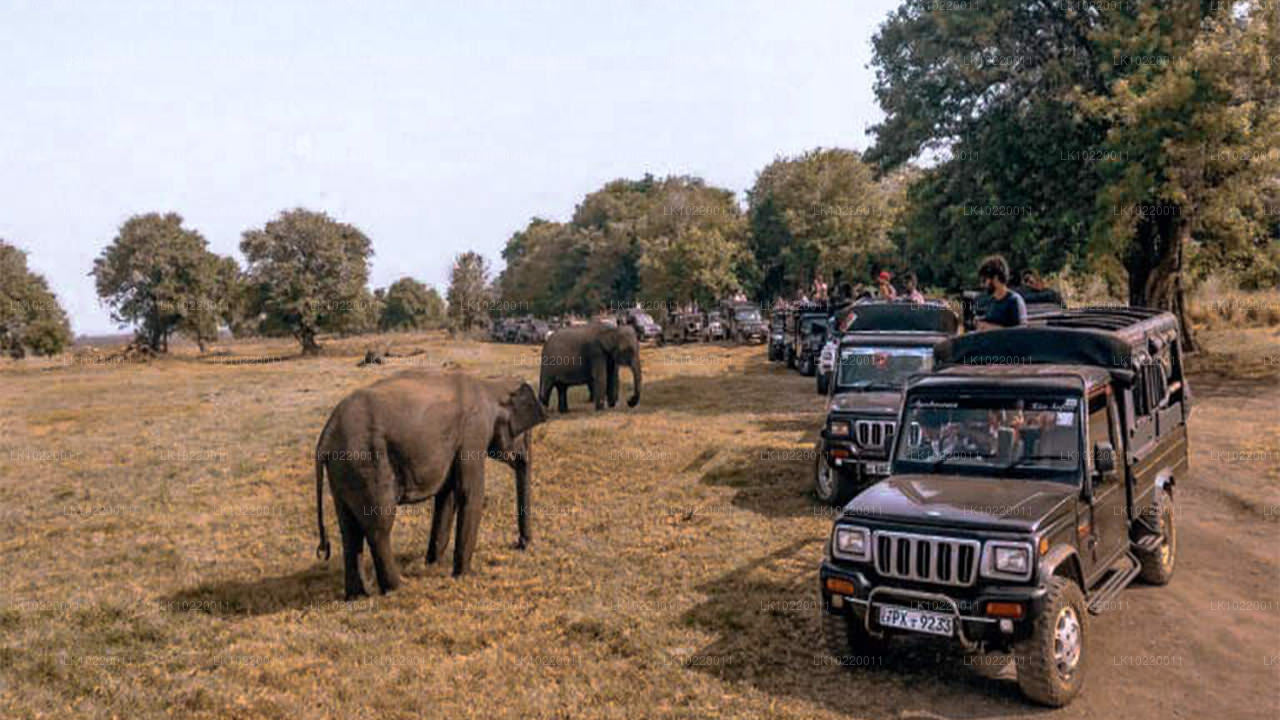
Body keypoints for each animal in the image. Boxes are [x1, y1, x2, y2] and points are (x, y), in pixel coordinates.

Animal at [317, 366, 547, 597]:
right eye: (525, 434)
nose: (521, 544)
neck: (489, 385)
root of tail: (326, 434)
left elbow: (447, 497)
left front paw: (433, 564)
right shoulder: (473, 433)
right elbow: (470, 493)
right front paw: (463, 575)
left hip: (343, 470)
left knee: (348, 528)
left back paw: (357, 595)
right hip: (367, 462)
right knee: (379, 526)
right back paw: (397, 588)